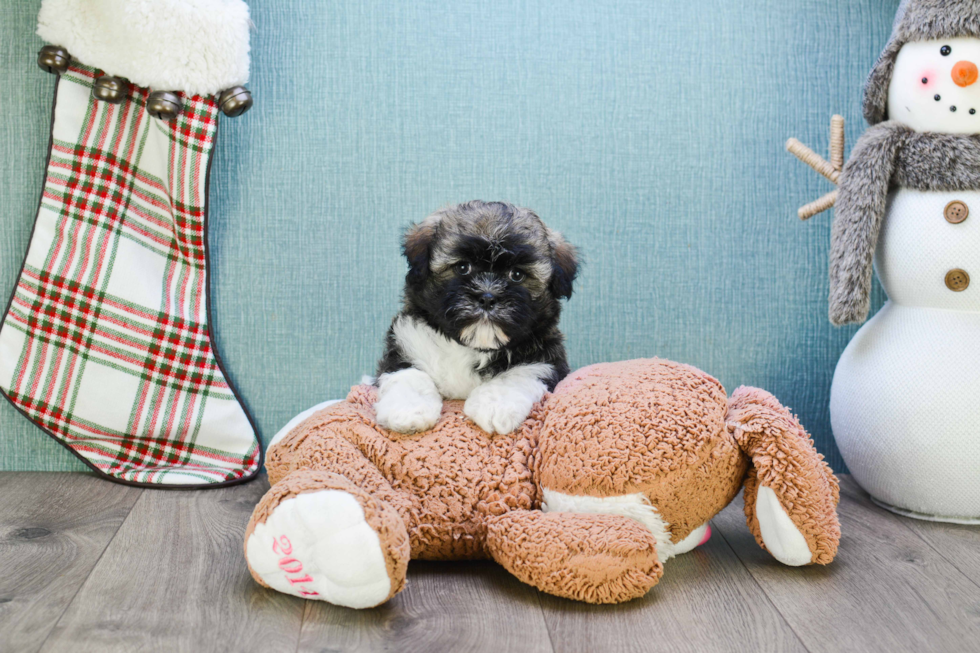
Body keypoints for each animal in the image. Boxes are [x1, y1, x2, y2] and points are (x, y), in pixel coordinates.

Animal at [374, 199, 576, 432]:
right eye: (463, 267)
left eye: (516, 275)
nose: (487, 297)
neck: (471, 346)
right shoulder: (407, 342)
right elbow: (407, 373)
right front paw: (408, 409)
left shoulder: (548, 358)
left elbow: (521, 373)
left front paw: (495, 405)